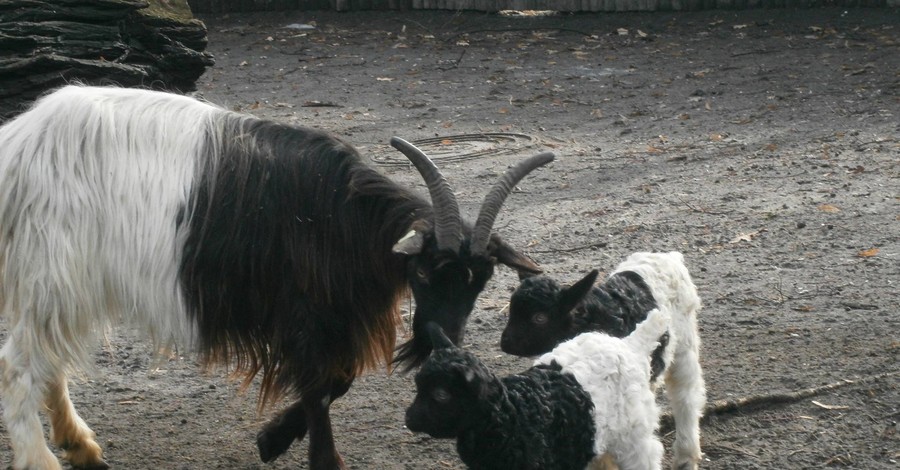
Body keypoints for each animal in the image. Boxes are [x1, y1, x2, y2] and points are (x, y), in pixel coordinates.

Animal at [0, 85, 552, 470]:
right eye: (422, 271)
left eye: (480, 280)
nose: (443, 337)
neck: (338, 217)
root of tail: (17, 147)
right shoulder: (302, 314)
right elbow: (320, 384)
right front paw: (319, 459)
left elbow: (338, 379)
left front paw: (272, 439)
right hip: (52, 273)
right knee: (19, 365)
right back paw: (42, 459)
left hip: (63, 286)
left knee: (49, 363)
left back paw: (80, 446)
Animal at [404, 308, 672, 470]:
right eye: (418, 385)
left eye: (441, 394)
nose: (409, 419)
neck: (512, 414)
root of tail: (630, 344)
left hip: (634, 434)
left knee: (647, 455)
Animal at [500, 252, 704, 470]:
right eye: (512, 311)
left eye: (540, 318)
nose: (505, 343)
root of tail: (666, 256)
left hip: (684, 344)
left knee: (686, 396)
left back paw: (686, 456)